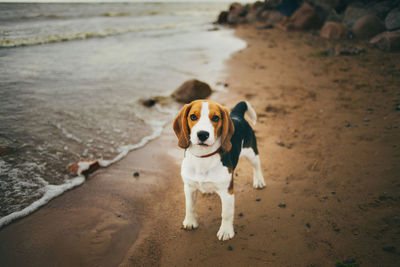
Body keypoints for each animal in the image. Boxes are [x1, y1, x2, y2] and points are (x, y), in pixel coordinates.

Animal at [173, 99, 264, 242]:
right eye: (193, 116)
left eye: (215, 118)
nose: (203, 134)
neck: (203, 157)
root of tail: (237, 115)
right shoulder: (189, 187)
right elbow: (190, 207)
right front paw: (190, 222)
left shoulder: (227, 192)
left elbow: (226, 213)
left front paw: (226, 231)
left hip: (251, 153)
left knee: (257, 166)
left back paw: (259, 181)